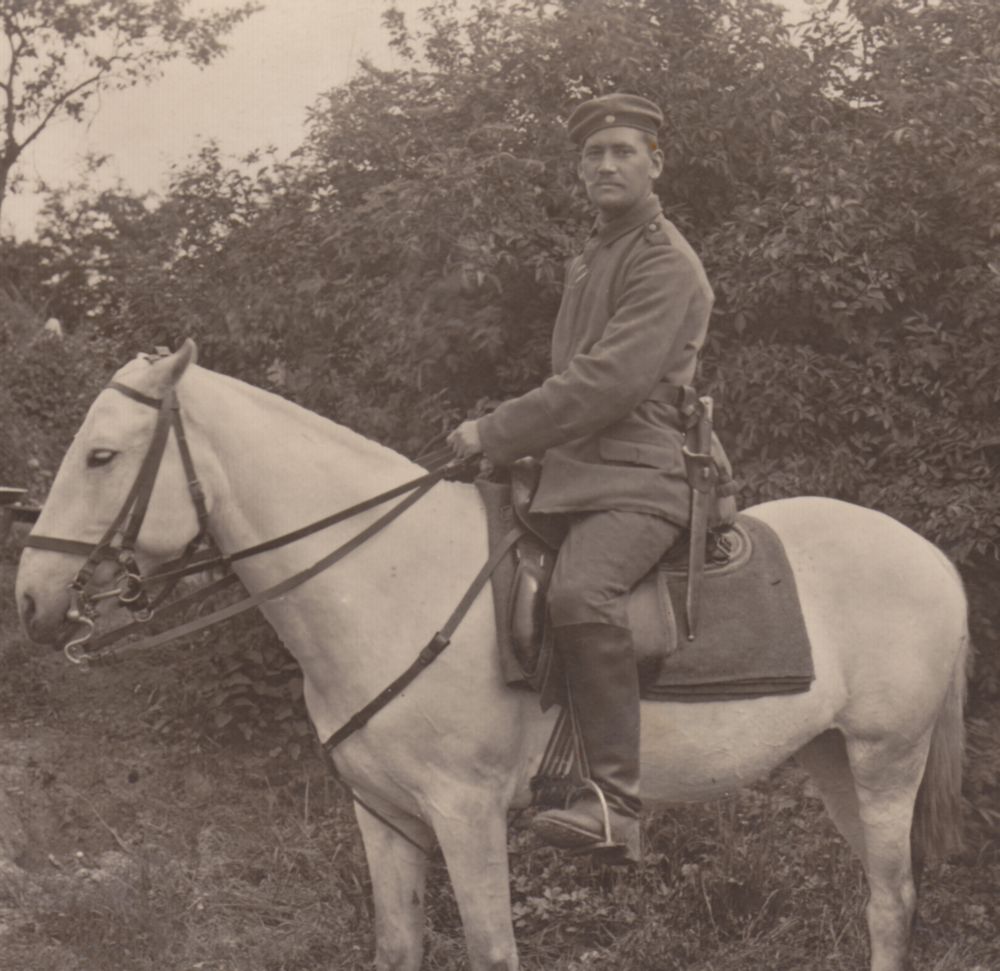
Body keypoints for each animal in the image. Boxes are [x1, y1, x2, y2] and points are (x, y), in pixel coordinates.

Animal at [15, 341, 967, 971]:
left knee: (892, 899)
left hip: (886, 759)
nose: (30, 598)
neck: (391, 577)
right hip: (833, 758)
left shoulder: (465, 812)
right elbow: (398, 944)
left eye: (101, 455)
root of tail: (933, 558)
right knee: (886, 891)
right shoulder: (384, 813)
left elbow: (492, 949)